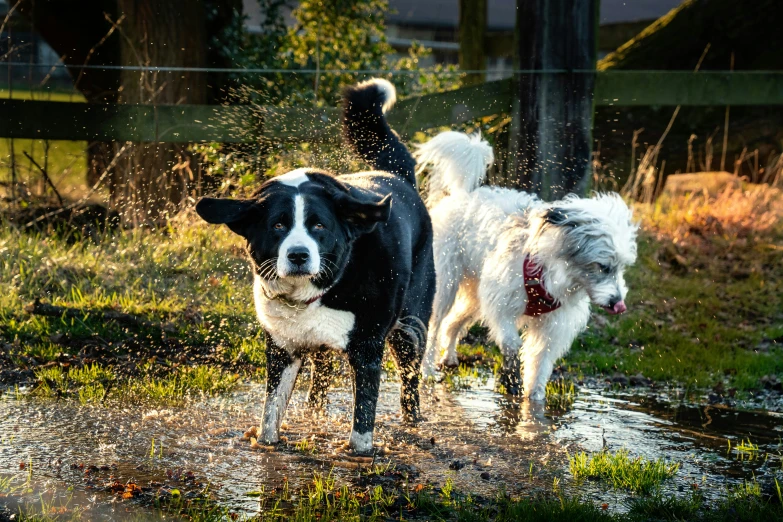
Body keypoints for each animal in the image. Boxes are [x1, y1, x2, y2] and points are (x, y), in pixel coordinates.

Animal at [192, 79, 432, 452]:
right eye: (278, 225)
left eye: (319, 225)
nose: (298, 255)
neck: (318, 291)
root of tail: (397, 176)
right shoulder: (282, 347)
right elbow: (271, 412)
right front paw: (267, 444)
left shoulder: (367, 347)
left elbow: (363, 420)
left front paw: (359, 454)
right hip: (321, 345)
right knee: (320, 378)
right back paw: (314, 415)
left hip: (410, 326)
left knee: (409, 384)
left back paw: (413, 425)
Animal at [416, 130, 636, 398]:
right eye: (602, 266)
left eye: (622, 267)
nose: (619, 304)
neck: (552, 270)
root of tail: (462, 195)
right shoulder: (501, 303)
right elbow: (512, 344)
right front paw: (510, 376)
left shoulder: (552, 325)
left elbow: (540, 363)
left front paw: (534, 400)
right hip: (445, 286)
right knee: (435, 326)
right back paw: (427, 369)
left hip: (474, 296)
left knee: (453, 323)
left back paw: (447, 356)